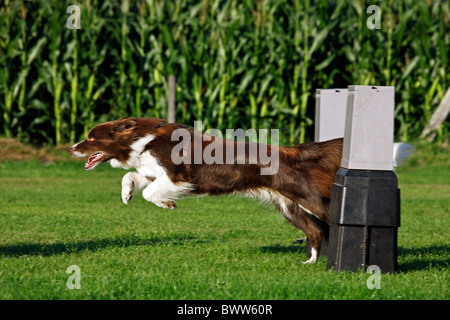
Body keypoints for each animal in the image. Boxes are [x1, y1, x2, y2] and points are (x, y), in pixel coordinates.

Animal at [67, 117, 412, 262]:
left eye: (92, 137)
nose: (71, 148)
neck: (144, 139)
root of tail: (294, 151)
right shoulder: (155, 173)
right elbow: (133, 178)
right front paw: (127, 194)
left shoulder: (179, 176)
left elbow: (151, 191)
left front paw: (167, 205)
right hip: (289, 207)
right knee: (316, 232)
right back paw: (311, 264)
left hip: (311, 201)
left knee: (329, 223)